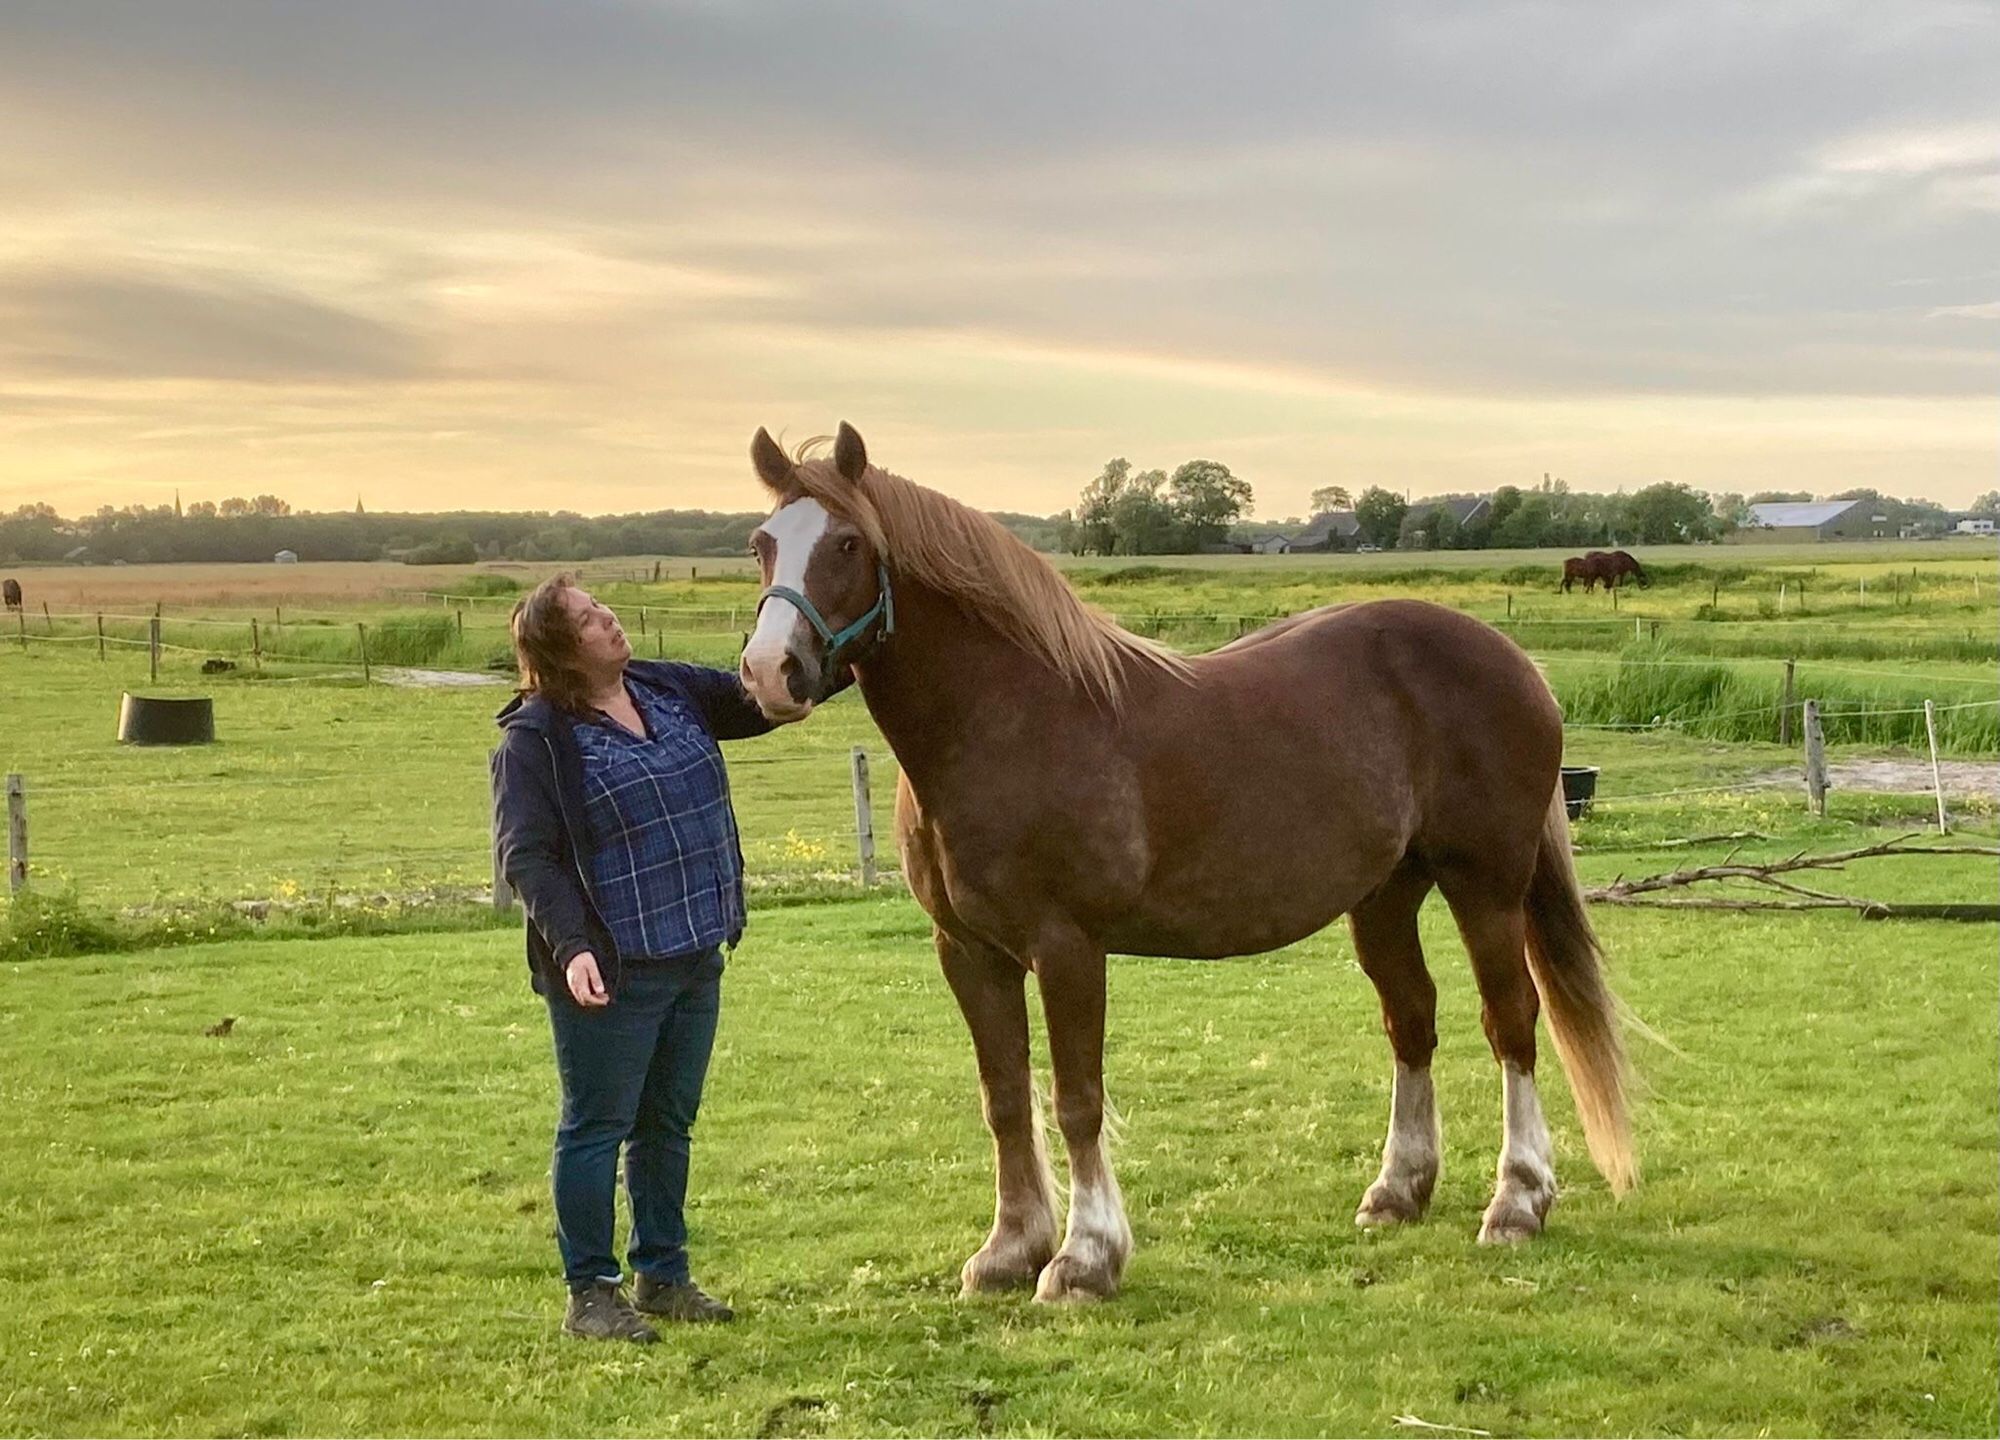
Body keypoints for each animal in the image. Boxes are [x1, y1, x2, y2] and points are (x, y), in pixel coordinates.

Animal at [740, 422, 1640, 1296]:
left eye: (849, 543)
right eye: (762, 544)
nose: (768, 671)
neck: (1010, 720)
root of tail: (1517, 662)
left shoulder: (1067, 948)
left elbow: (1076, 1099)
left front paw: (1084, 1259)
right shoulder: (968, 953)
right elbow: (1004, 1097)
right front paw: (1009, 1250)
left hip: (1485, 885)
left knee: (1511, 1021)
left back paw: (1518, 1202)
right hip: (1386, 894)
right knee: (1411, 1019)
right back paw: (1397, 1191)